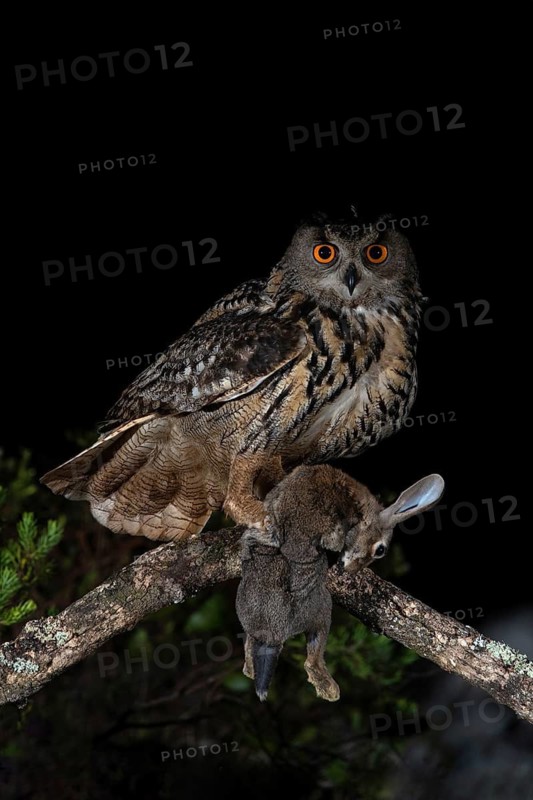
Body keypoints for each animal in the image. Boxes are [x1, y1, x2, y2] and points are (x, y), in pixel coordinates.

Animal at [235, 464, 444, 702]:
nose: (350, 570)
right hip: (322, 612)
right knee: (312, 661)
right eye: (380, 550)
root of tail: (273, 634)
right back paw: (330, 690)